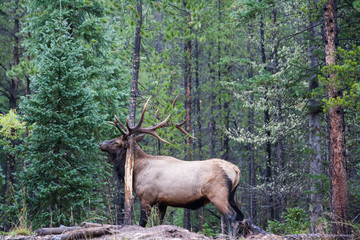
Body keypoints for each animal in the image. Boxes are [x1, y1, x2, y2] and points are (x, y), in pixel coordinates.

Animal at [99, 97, 245, 236]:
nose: (101, 144)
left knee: (231, 215)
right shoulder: (162, 202)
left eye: (116, 142)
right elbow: (160, 222)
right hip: (231, 195)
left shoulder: (146, 198)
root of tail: (235, 170)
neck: (137, 171)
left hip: (217, 193)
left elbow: (142, 223)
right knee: (241, 216)